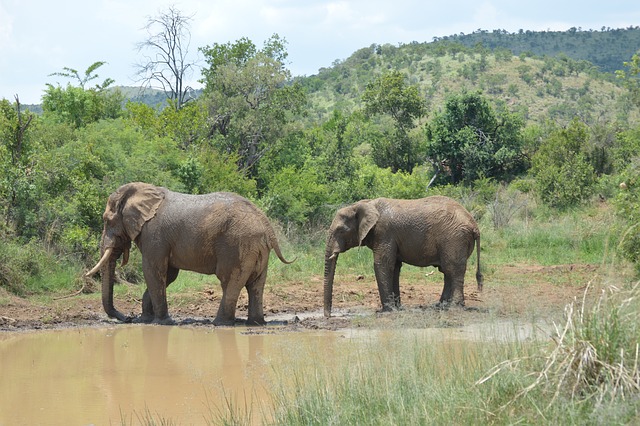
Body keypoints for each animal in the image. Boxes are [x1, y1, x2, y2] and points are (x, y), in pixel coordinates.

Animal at [85, 181, 292, 324]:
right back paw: (256, 323)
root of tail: (266, 224)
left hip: (238, 245)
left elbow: (153, 271)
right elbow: (168, 274)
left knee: (229, 281)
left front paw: (162, 323)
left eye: (106, 220)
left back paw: (220, 324)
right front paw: (146, 320)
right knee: (255, 284)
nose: (128, 318)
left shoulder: (154, 235)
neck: (143, 191)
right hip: (257, 249)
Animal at [322, 196, 482, 316]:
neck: (365, 204)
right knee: (448, 271)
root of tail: (474, 225)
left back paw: (454, 307)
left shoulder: (384, 233)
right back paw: (441, 306)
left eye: (341, 230)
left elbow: (382, 264)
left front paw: (386, 311)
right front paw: (397, 308)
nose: (328, 315)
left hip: (454, 238)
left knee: (452, 270)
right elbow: (394, 267)